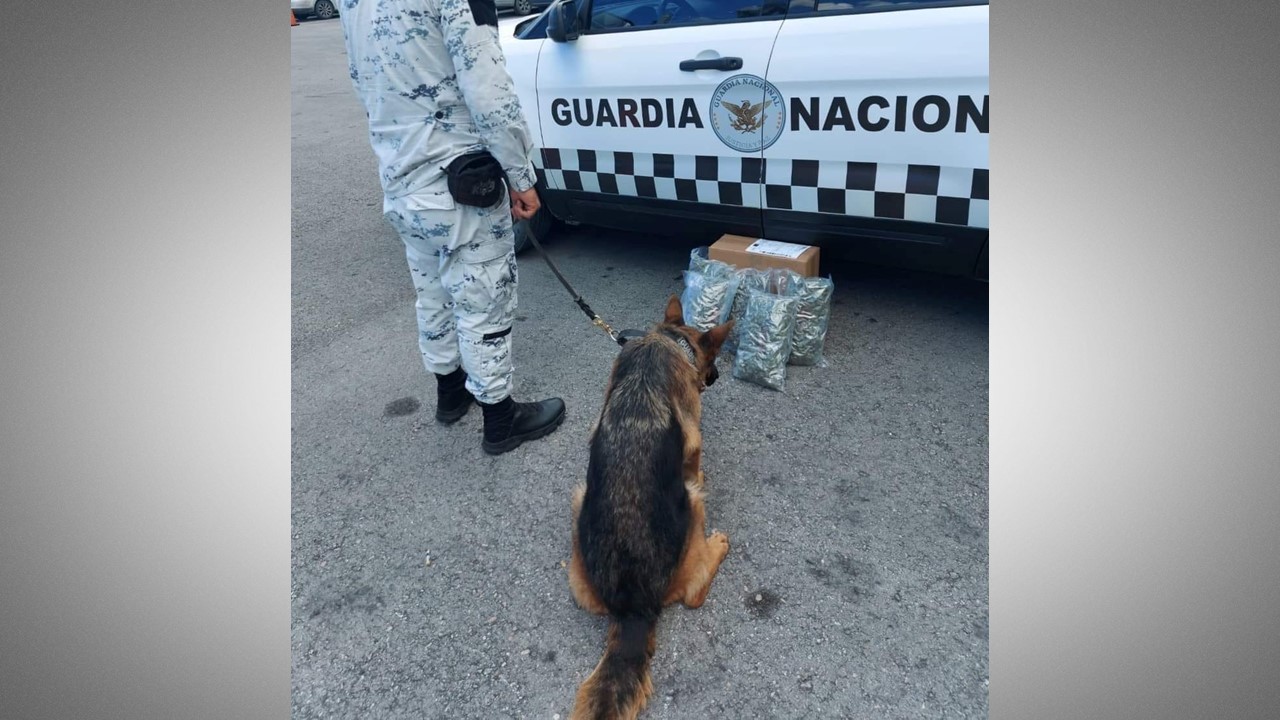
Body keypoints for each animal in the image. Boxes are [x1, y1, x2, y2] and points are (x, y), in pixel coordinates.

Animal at [568, 294, 737, 712]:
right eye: (712, 359)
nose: (716, 377)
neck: (669, 341)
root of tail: (634, 608)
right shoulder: (694, 446)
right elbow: (696, 463)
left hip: (579, 501)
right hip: (692, 505)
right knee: (694, 593)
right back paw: (717, 545)